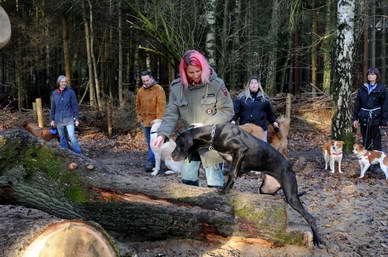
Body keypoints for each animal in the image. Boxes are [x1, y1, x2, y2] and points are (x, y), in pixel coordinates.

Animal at [173, 123, 324, 247]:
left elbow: (233, 173)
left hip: (291, 196)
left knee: (311, 218)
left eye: (178, 144)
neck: (214, 134)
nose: (172, 156)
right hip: (265, 189)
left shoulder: (240, 150)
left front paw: (225, 190)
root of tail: (290, 167)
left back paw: (318, 241)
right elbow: (232, 172)